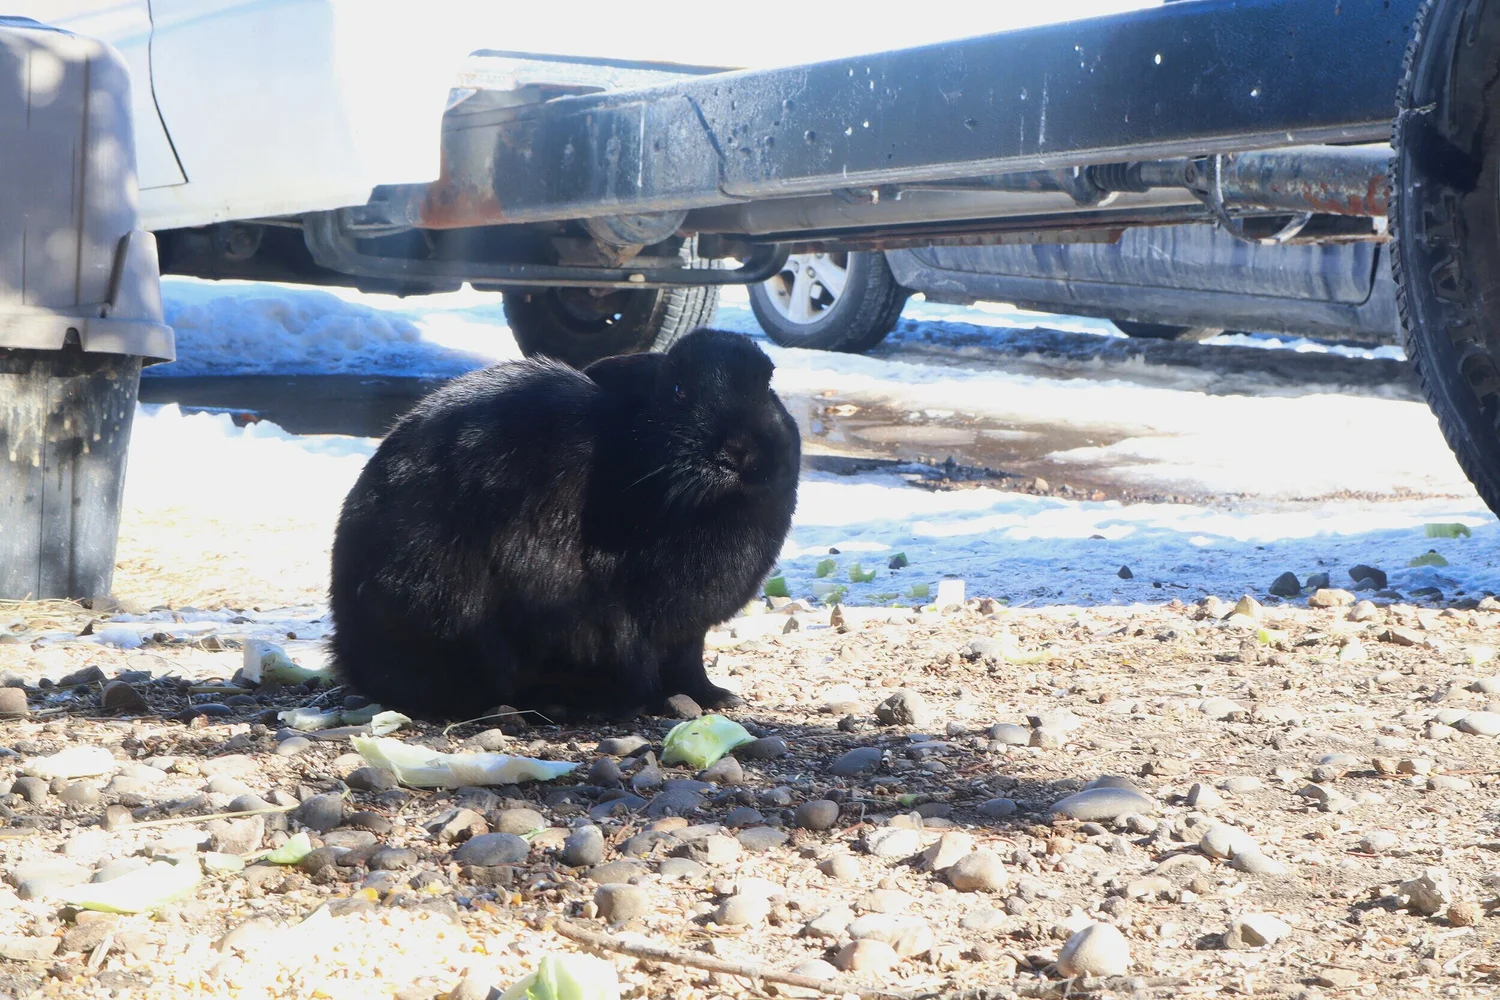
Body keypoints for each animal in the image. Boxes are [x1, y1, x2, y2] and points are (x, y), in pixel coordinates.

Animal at [328, 328, 801, 721]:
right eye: (679, 391)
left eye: (768, 387)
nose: (740, 452)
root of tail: (351, 648)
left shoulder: (686, 631)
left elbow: (691, 666)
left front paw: (717, 698)